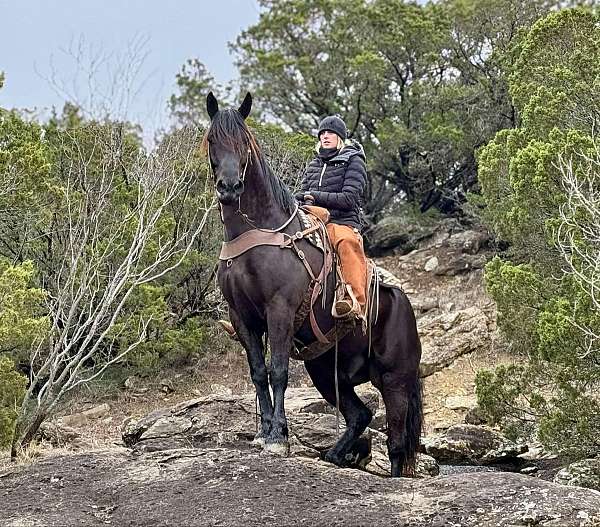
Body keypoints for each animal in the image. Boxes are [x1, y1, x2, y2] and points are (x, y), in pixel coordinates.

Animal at [204, 92, 424, 478]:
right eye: (212, 140)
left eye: (244, 142)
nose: (229, 188)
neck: (258, 231)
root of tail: (402, 303)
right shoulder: (242, 317)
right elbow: (258, 373)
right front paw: (263, 433)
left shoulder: (279, 310)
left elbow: (278, 372)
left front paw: (278, 437)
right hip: (326, 371)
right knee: (359, 415)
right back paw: (334, 456)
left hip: (395, 379)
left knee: (397, 444)